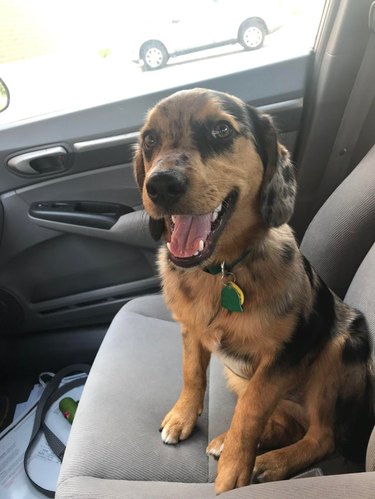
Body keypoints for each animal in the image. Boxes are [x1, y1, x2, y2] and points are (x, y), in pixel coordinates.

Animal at [134, 88, 374, 494]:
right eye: (150, 139)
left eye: (221, 130)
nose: (161, 185)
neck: (221, 272)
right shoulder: (192, 332)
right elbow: (192, 374)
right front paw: (183, 417)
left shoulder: (282, 355)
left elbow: (250, 412)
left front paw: (235, 470)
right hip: (238, 374)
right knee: (288, 422)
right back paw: (229, 441)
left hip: (339, 346)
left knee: (320, 436)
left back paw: (270, 462)